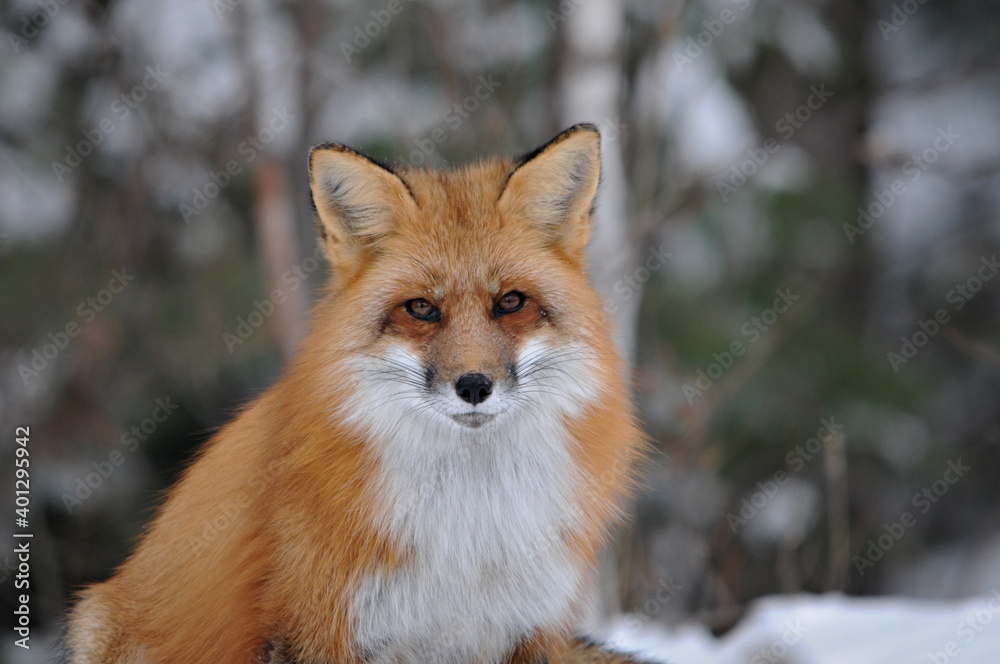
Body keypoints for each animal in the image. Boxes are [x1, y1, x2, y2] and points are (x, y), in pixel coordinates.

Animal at [65, 124, 650, 664]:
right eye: (421, 308)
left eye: (510, 302)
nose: (474, 386)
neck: (468, 529)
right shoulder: (316, 629)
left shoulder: (528, 630)